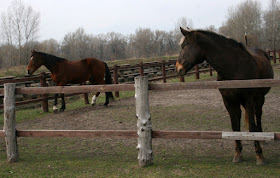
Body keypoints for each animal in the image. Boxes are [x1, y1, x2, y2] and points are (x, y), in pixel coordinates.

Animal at [176, 27, 274, 165]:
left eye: (186, 45)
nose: (178, 68)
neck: (234, 67)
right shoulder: (228, 101)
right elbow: (235, 126)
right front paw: (237, 154)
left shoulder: (248, 100)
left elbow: (252, 126)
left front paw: (259, 155)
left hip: (259, 99)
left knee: (258, 117)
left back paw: (262, 138)